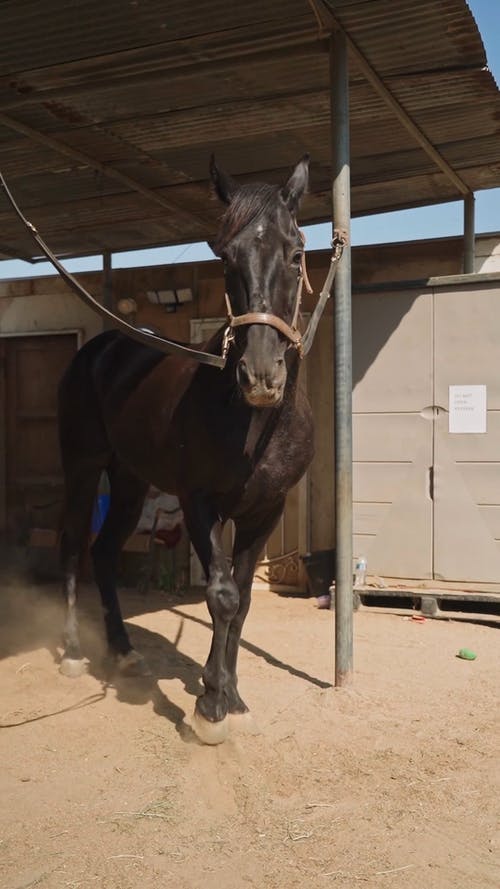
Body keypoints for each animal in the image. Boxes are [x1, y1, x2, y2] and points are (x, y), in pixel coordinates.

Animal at [57, 158, 312, 744]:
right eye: (225, 255)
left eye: (296, 253)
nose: (260, 376)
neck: (257, 424)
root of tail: (102, 348)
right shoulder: (201, 503)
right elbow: (221, 595)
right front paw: (210, 707)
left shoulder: (266, 511)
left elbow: (243, 600)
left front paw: (232, 696)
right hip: (82, 468)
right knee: (74, 545)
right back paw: (77, 653)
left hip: (130, 481)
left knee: (105, 551)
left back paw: (124, 652)